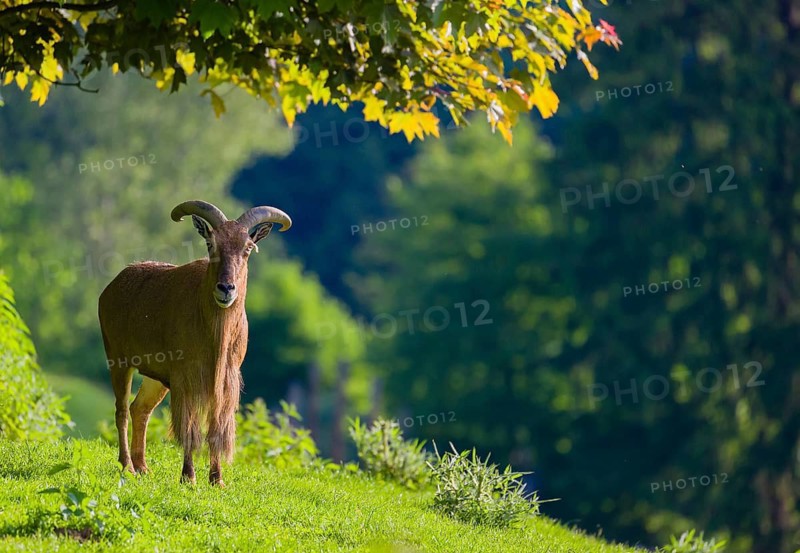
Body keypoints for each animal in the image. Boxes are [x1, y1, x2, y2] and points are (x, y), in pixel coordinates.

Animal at [98, 200, 292, 486]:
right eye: (211, 243)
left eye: (247, 247)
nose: (226, 288)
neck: (215, 336)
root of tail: (111, 287)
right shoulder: (184, 378)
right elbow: (189, 428)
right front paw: (188, 476)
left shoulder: (223, 381)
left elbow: (215, 427)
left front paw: (217, 479)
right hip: (119, 359)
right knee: (121, 410)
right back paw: (128, 466)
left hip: (155, 377)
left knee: (140, 409)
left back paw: (143, 466)